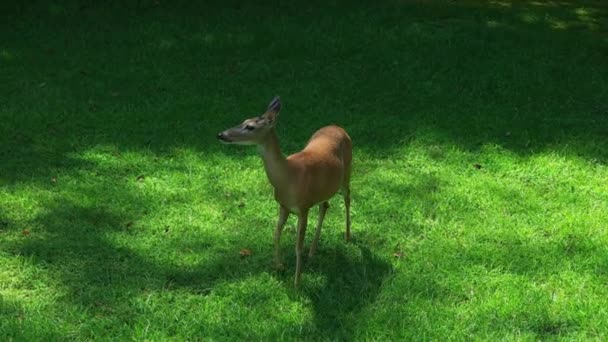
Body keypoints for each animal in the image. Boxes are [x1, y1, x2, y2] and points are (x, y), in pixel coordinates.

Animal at [217, 97, 352, 288]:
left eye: (250, 127)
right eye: (244, 120)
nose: (221, 134)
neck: (289, 176)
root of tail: (338, 127)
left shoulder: (303, 208)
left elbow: (297, 246)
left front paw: (297, 282)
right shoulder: (284, 205)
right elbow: (276, 233)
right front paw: (278, 266)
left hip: (347, 171)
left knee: (347, 198)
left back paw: (347, 236)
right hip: (324, 189)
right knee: (325, 206)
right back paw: (313, 251)